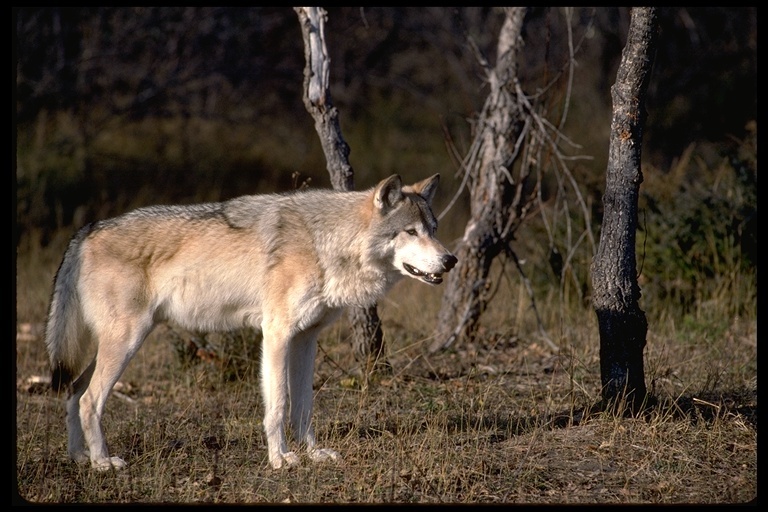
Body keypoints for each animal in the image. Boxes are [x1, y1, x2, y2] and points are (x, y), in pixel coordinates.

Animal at [43, 174, 456, 470]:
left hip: (118, 345)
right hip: (127, 342)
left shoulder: (306, 340)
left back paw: (79, 457)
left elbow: (303, 406)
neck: (326, 243)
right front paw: (280, 459)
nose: (450, 260)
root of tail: (87, 230)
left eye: (434, 229)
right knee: (90, 399)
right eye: (411, 232)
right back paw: (102, 463)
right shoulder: (276, 335)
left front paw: (313, 454)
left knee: (74, 391)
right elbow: (278, 405)